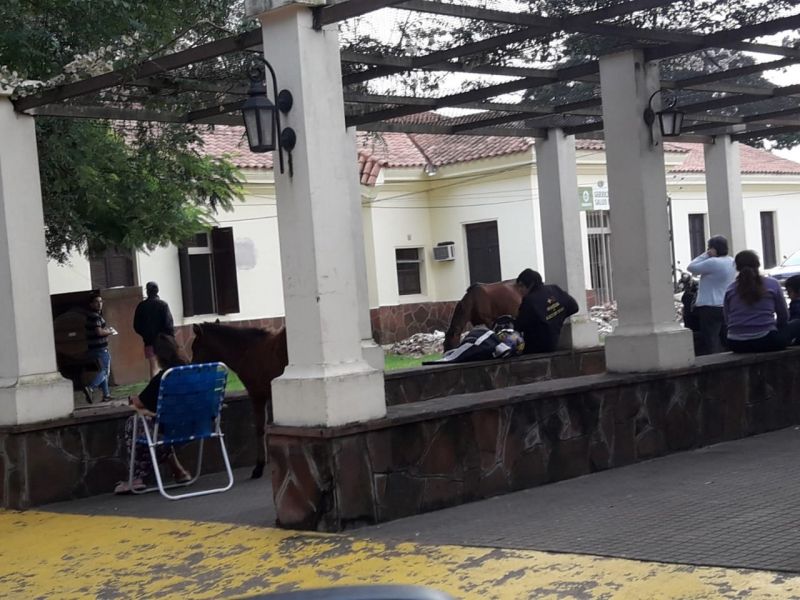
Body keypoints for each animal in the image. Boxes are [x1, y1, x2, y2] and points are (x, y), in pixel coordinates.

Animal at [190, 322, 288, 479]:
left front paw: (259, 467)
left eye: (194, 347)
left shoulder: (257, 396)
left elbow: (260, 429)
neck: (248, 351)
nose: (192, 369)